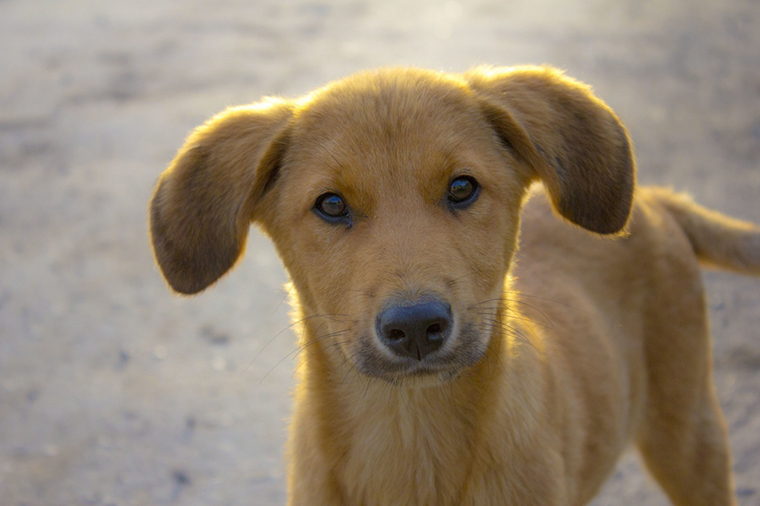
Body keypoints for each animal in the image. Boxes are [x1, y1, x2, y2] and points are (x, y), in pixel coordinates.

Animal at [150, 67, 760, 506]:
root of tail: (657, 199)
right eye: (331, 204)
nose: (417, 326)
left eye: (462, 187)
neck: (411, 438)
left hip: (689, 433)